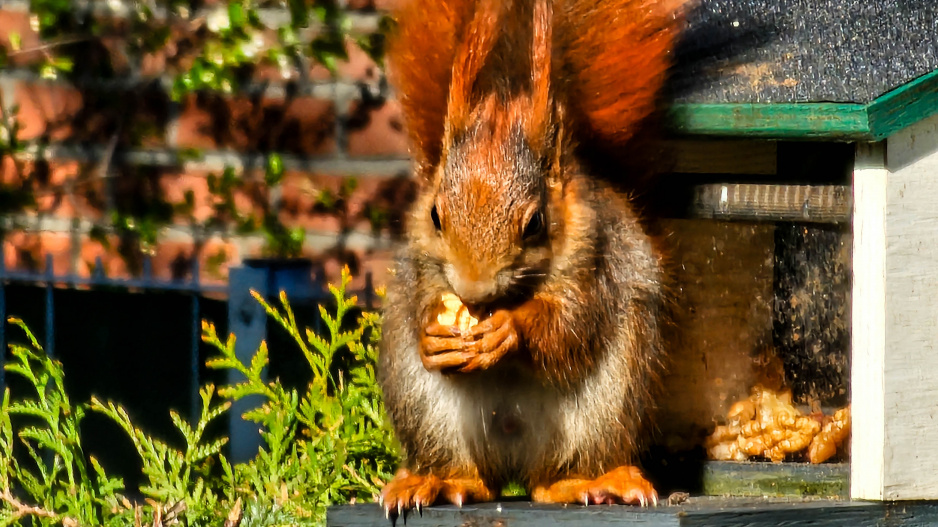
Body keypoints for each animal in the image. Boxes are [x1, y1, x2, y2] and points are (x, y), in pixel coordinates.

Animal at [376, 0, 684, 516]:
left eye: (535, 222)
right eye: (435, 214)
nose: (473, 289)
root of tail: (514, 457)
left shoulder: (595, 262)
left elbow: (572, 324)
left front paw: (510, 329)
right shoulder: (422, 266)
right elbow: (422, 301)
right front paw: (433, 336)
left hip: (605, 407)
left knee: (550, 480)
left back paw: (590, 482)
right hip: (426, 408)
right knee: (476, 478)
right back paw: (439, 481)